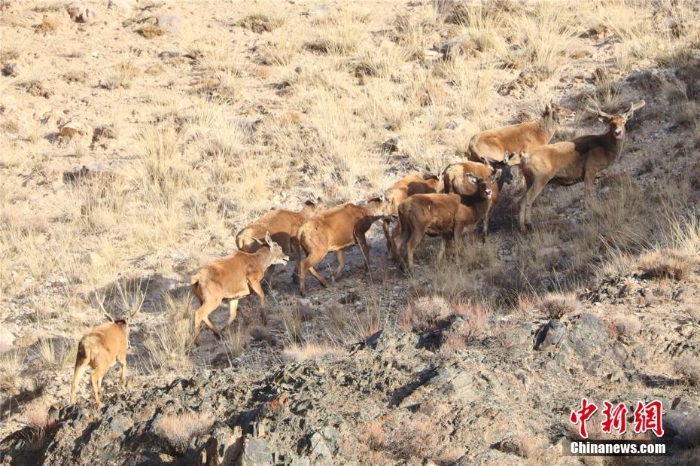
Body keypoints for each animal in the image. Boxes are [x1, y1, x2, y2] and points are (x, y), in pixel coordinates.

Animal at [520, 100, 644, 231]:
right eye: (611, 124)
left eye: (623, 122)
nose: (618, 132)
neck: (606, 149)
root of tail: (524, 158)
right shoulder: (591, 167)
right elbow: (587, 194)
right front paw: (594, 211)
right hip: (541, 177)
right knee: (528, 198)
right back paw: (528, 224)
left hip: (529, 180)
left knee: (522, 199)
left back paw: (522, 227)